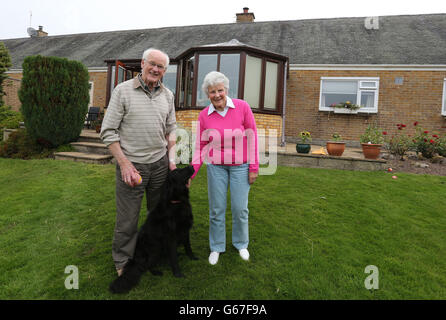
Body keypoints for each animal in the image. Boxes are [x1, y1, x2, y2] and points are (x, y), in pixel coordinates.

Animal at [109, 166, 196, 294]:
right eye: (178, 171)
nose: (191, 166)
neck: (177, 202)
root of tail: (135, 259)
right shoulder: (171, 237)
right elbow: (174, 258)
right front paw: (178, 274)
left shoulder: (185, 230)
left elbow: (188, 246)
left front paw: (192, 257)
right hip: (156, 248)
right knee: (148, 265)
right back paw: (156, 272)